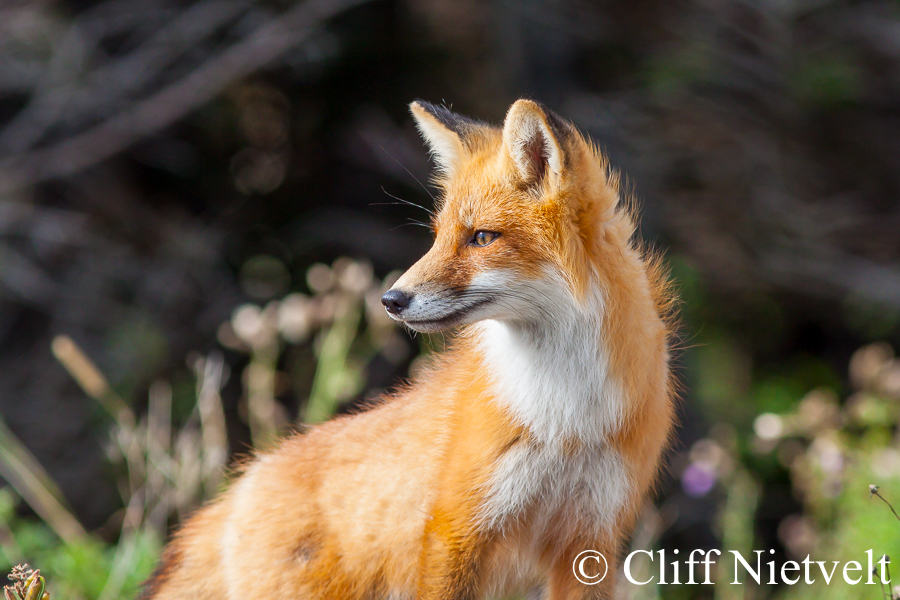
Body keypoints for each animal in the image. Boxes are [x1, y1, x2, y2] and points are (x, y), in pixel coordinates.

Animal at [141, 98, 676, 600]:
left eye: (482, 237)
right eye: (437, 238)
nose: (390, 300)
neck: (565, 420)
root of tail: (239, 486)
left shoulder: (590, 539)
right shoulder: (454, 527)